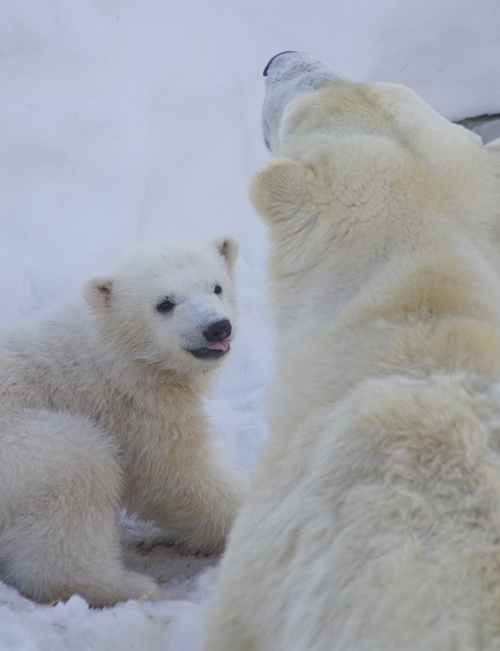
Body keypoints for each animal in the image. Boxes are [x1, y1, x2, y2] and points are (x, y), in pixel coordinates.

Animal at [0, 237, 244, 608]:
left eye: (216, 286)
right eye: (164, 303)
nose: (216, 327)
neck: (112, 345)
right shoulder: (133, 406)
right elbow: (179, 477)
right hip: (23, 450)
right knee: (78, 468)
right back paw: (127, 585)